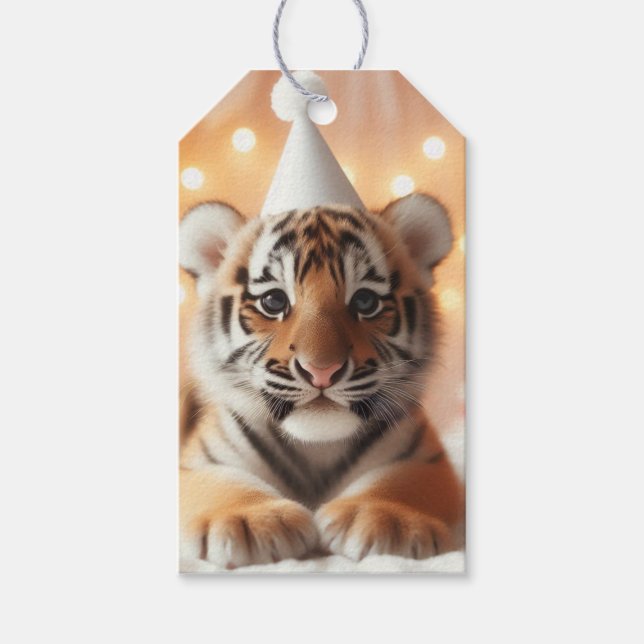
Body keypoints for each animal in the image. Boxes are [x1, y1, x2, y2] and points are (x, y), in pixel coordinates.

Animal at [179, 193, 464, 569]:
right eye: (273, 301)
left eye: (365, 301)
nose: (322, 371)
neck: (317, 449)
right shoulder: (199, 460)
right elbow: (221, 483)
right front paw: (250, 521)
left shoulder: (424, 457)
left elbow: (399, 481)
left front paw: (385, 518)